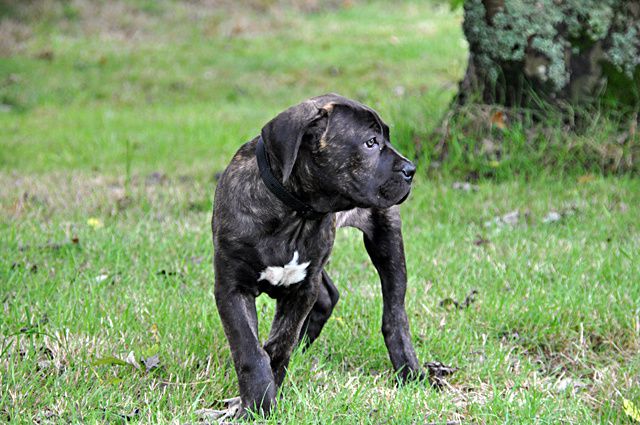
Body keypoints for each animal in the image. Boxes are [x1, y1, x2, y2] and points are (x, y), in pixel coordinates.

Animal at [211, 93, 424, 418]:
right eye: (371, 142)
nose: (410, 170)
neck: (295, 213)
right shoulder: (232, 288)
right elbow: (249, 349)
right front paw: (257, 403)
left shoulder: (301, 291)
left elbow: (278, 345)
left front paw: (262, 399)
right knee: (328, 295)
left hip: (386, 240)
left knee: (394, 313)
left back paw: (410, 371)